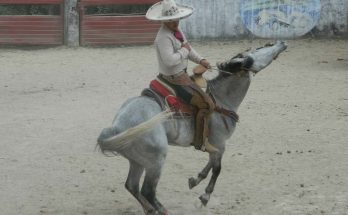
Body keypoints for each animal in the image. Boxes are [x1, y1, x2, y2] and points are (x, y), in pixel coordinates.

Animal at [96, 40, 286, 215]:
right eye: (260, 48)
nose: (281, 42)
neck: (221, 100)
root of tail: (117, 127)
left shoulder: (214, 145)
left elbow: (210, 164)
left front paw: (195, 180)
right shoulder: (220, 143)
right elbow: (217, 169)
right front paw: (205, 197)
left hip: (137, 161)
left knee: (132, 186)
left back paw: (150, 210)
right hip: (155, 161)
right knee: (147, 190)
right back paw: (162, 210)